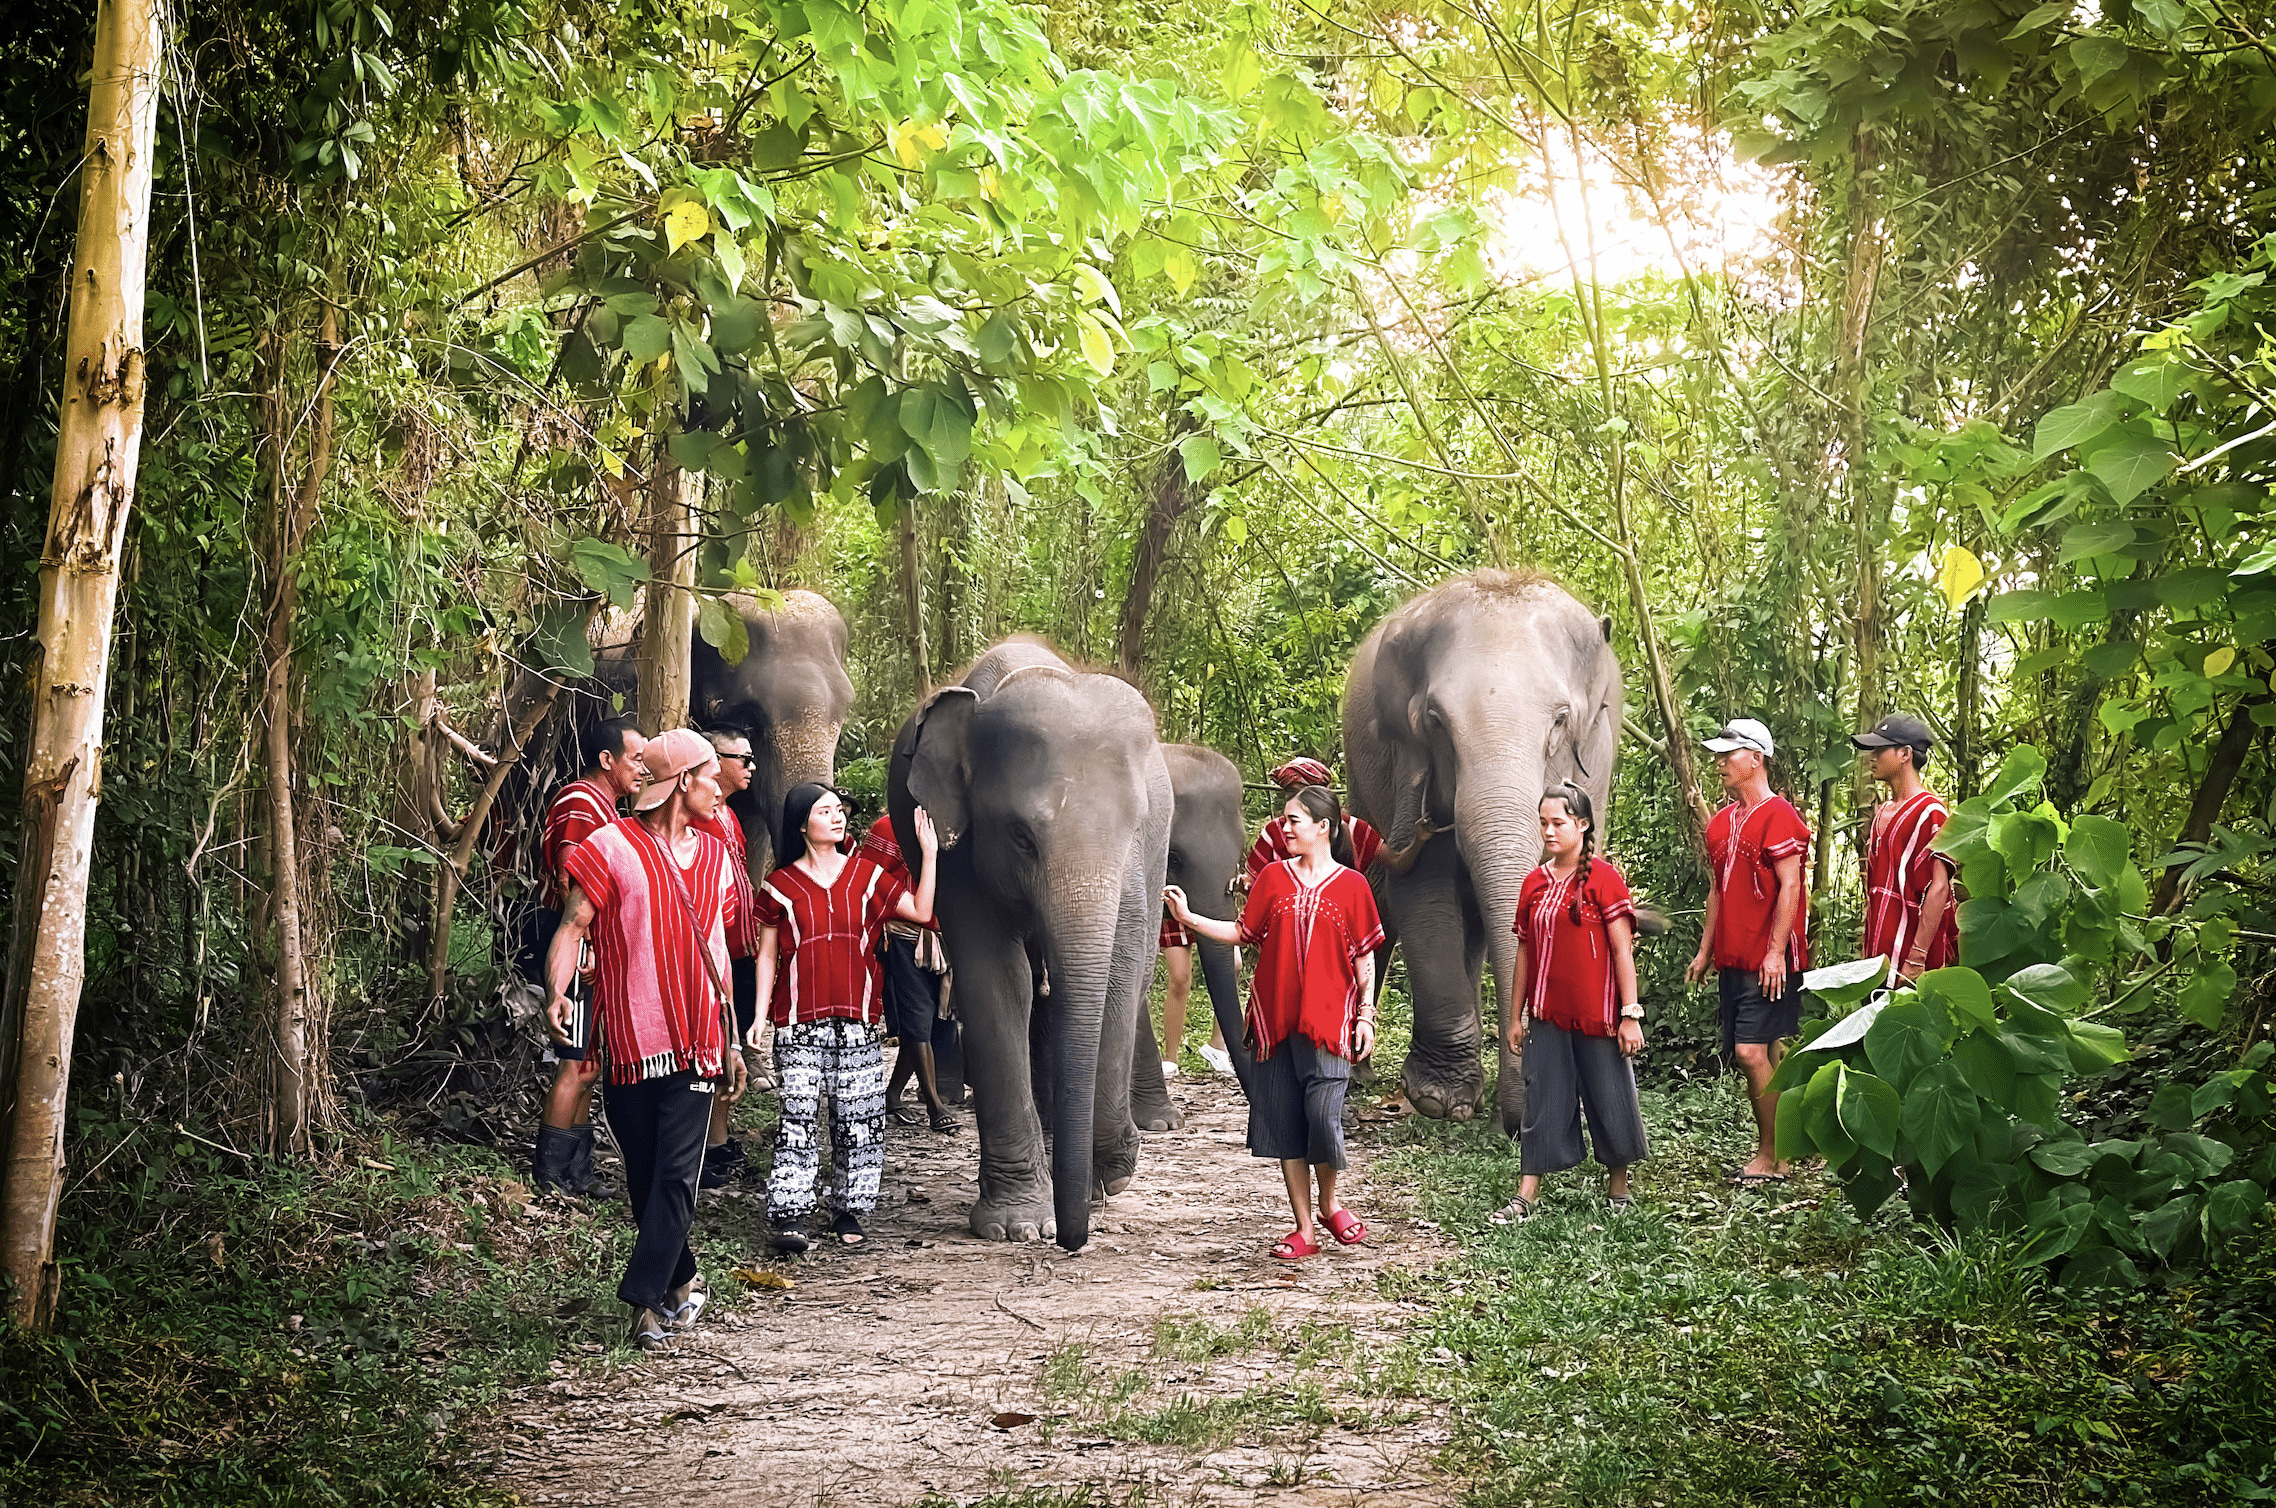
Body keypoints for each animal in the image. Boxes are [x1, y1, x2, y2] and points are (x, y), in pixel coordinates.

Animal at [887, 636, 1174, 1246]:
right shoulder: (957, 851)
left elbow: (1122, 968)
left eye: (1132, 827)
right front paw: (1019, 1225)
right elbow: (998, 982)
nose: (1072, 1239)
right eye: (1022, 837)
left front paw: (1108, 1170)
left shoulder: (1141, 858)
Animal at [1338, 568, 1629, 1132]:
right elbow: (1424, 890)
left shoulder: (1597, 762)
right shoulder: (1405, 769)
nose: (1516, 1124)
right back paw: (1362, 1073)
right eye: (1435, 721)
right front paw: (1439, 1100)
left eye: (1560, 719)